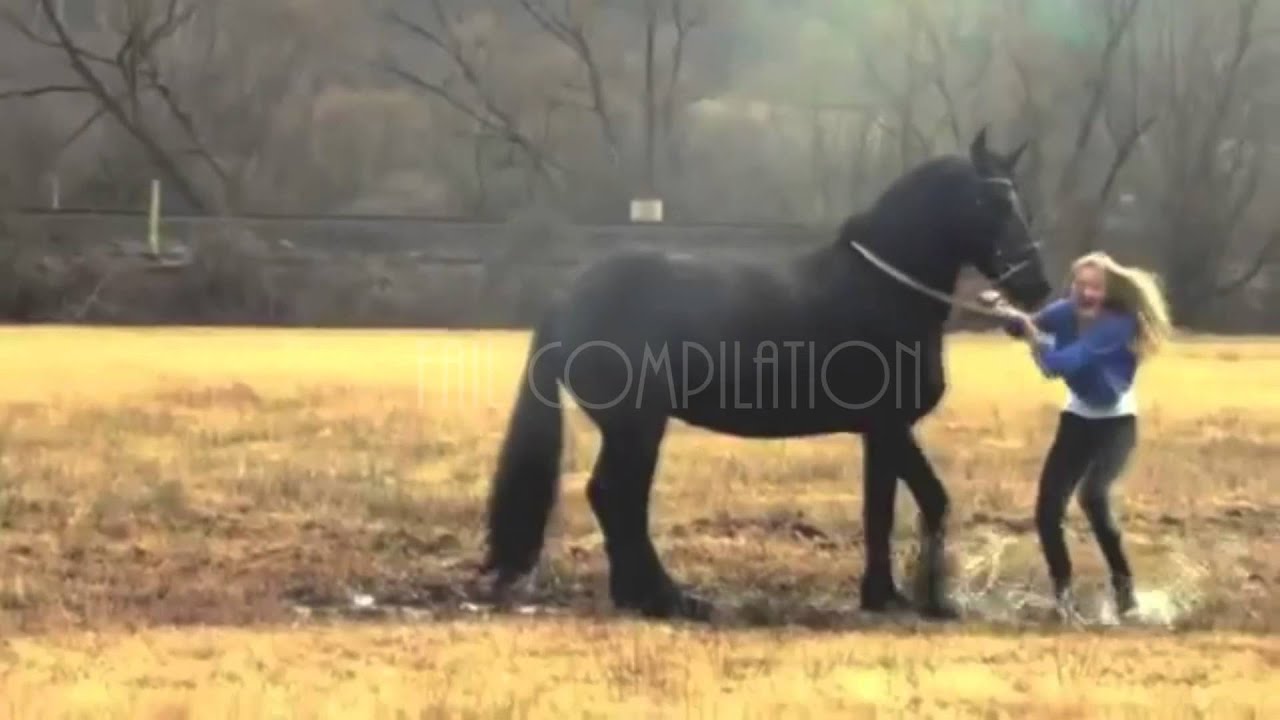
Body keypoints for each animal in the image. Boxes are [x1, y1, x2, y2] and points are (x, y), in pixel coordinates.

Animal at [478, 127, 1053, 622]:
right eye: (989, 202)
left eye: (1019, 201)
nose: (1037, 286)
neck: (882, 286)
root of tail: (568, 297)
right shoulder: (890, 426)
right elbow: (930, 500)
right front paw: (930, 597)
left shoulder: (879, 434)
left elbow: (881, 510)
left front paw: (883, 595)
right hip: (636, 426)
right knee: (617, 496)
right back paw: (665, 597)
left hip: (630, 427)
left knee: (616, 498)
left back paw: (641, 594)